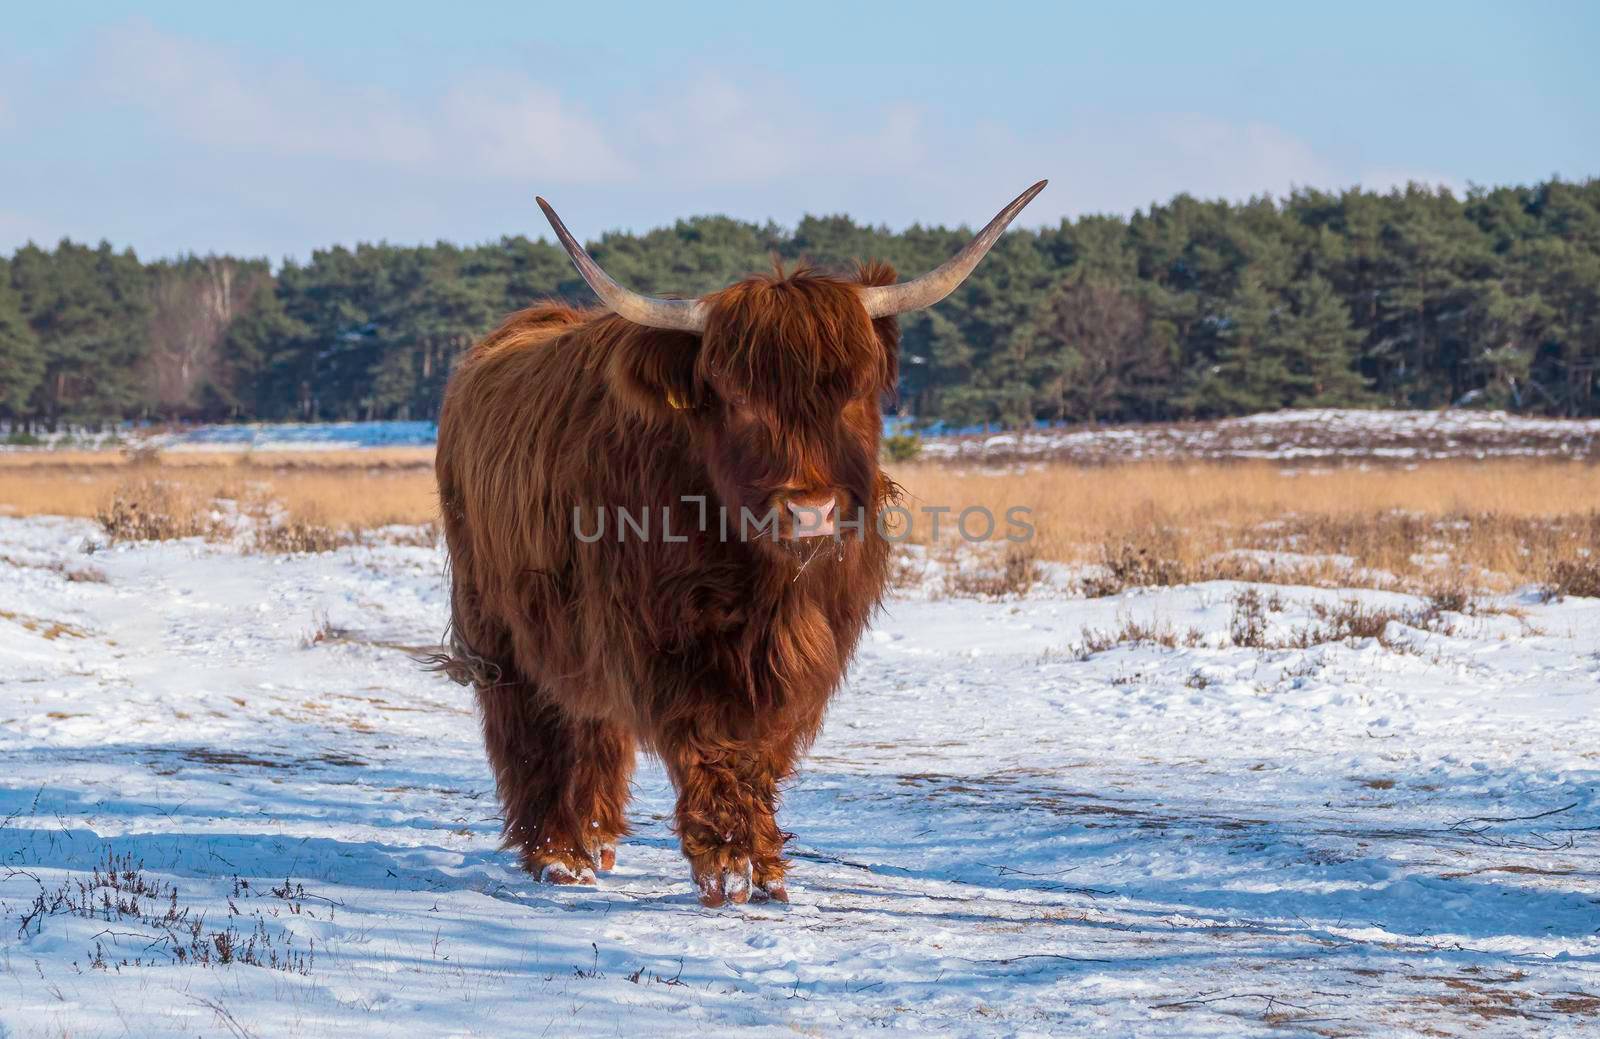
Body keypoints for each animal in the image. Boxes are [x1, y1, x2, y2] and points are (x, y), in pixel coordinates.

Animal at [432, 182, 1043, 902]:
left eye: (852, 392)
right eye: (738, 400)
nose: (810, 511)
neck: (769, 585)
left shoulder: (805, 652)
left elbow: (763, 750)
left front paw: (765, 863)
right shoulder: (666, 643)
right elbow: (711, 745)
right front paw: (730, 863)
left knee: (592, 726)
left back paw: (599, 840)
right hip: (498, 629)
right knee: (531, 731)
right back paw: (558, 854)